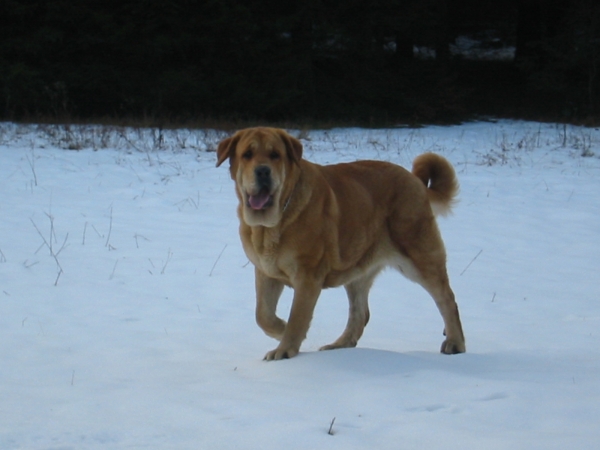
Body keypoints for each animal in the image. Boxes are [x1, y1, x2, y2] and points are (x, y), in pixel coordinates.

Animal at [216, 128, 464, 360]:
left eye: (274, 155)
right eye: (247, 155)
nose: (263, 170)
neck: (272, 224)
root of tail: (416, 180)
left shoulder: (307, 276)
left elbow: (297, 317)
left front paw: (285, 349)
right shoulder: (266, 272)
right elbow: (262, 315)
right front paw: (281, 330)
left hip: (418, 255)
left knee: (447, 298)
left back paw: (455, 343)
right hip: (357, 268)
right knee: (360, 312)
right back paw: (339, 345)